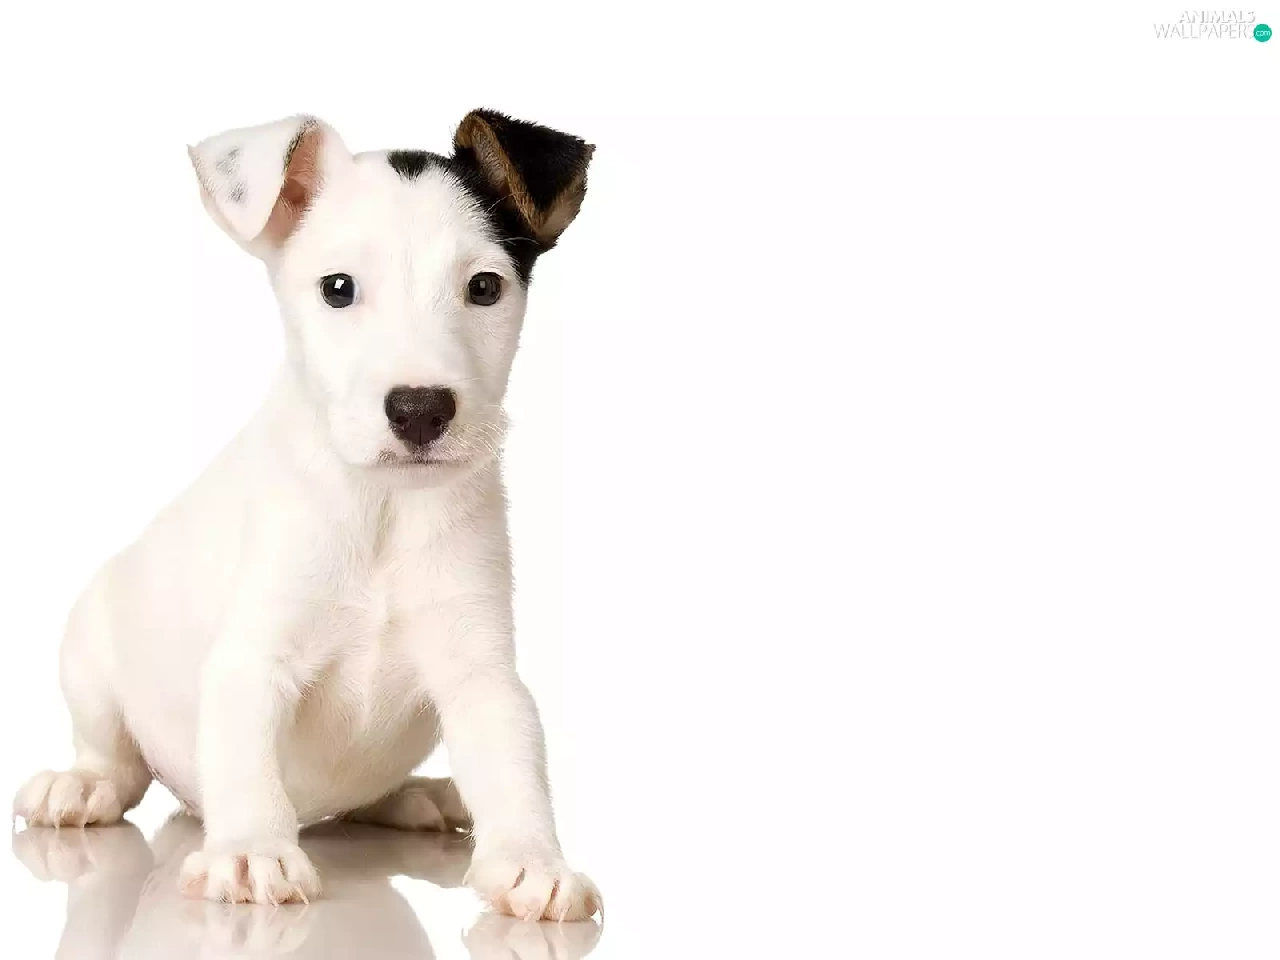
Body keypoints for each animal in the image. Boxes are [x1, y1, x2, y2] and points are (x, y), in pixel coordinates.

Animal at [12, 109, 600, 921]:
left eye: (484, 287)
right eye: (338, 289)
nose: (420, 410)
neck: (381, 507)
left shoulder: (482, 674)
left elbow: (513, 764)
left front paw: (532, 859)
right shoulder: (253, 658)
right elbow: (246, 759)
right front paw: (250, 849)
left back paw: (415, 796)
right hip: (90, 652)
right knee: (117, 759)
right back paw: (82, 784)